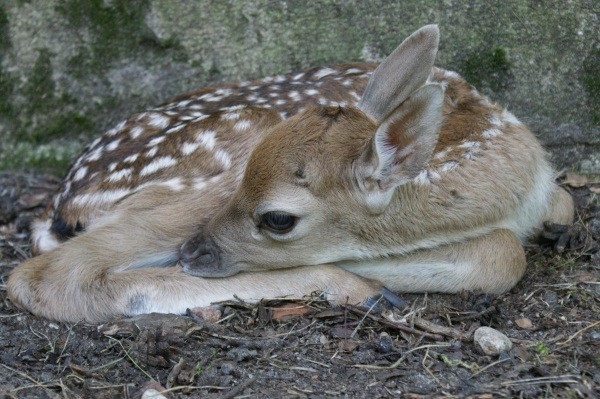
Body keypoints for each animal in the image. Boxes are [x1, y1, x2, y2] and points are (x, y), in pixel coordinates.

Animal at [7, 25, 576, 324]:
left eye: (279, 219)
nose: (193, 252)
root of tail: (65, 203)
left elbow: (560, 208)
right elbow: (502, 251)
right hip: (225, 148)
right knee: (50, 276)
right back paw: (357, 287)